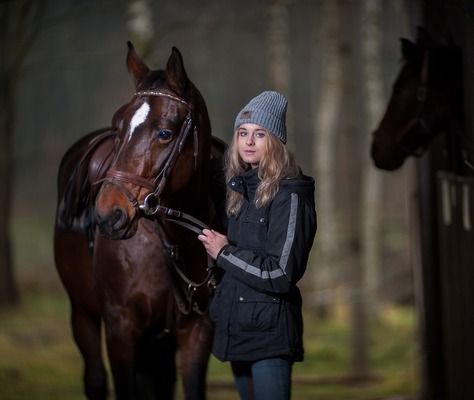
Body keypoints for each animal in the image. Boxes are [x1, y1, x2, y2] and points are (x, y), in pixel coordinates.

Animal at [53, 42, 224, 398]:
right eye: (118, 127)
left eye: (165, 132)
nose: (108, 213)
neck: (171, 242)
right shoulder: (120, 327)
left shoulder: (197, 330)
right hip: (83, 313)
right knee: (95, 378)